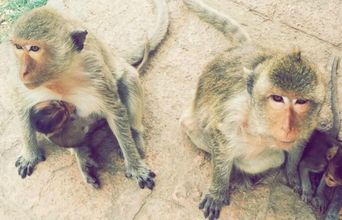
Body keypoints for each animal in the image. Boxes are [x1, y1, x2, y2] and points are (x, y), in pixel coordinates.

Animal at [8, 0, 168, 190]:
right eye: (18, 47)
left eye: (34, 48)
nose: (22, 72)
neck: (59, 77)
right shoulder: (25, 85)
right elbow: (21, 104)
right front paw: (30, 153)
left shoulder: (96, 74)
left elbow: (114, 112)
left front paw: (135, 166)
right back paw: (82, 154)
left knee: (129, 79)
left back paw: (135, 135)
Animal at [180, 0, 328, 218]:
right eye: (277, 98)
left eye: (301, 102)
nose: (288, 127)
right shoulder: (235, 110)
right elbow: (220, 138)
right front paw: (218, 190)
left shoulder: (309, 122)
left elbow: (298, 144)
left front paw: (292, 173)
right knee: (193, 125)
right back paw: (238, 174)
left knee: (274, 157)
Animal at [298, 55, 340, 209]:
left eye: (333, 180)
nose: (330, 183)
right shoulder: (320, 161)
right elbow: (303, 165)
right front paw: (308, 192)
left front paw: (320, 195)